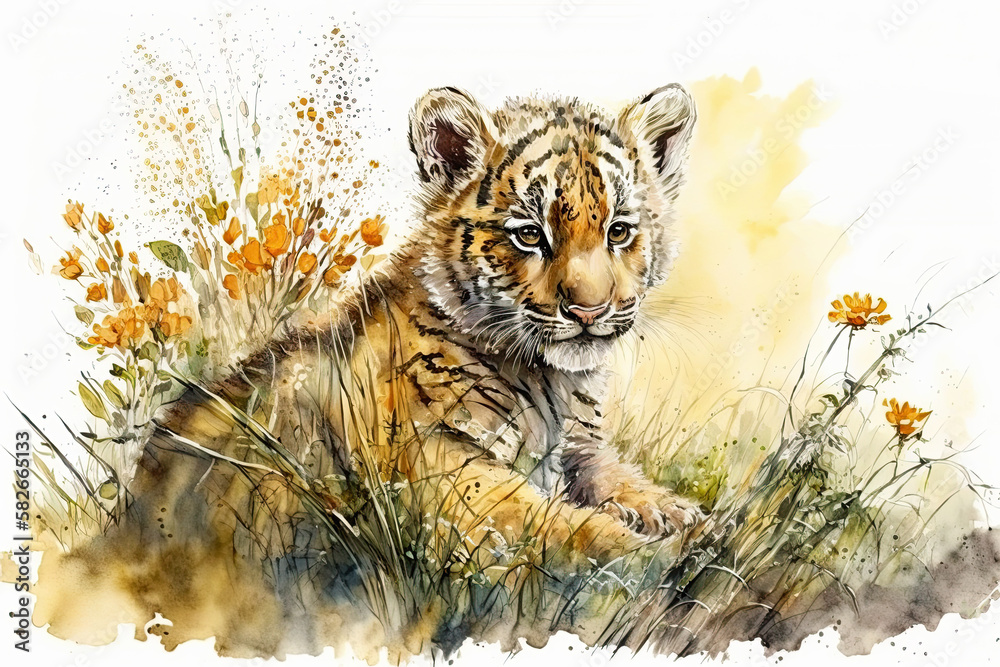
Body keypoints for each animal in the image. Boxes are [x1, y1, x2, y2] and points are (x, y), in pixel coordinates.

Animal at [129, 83, 705, 572]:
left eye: (619, 231)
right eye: (528, 234)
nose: (589, 311)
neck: (551, 381)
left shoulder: (581, 449)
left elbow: (618, 475)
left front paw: (677, 513)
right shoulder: (439, 462)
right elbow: (542, 517)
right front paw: (640, 550)